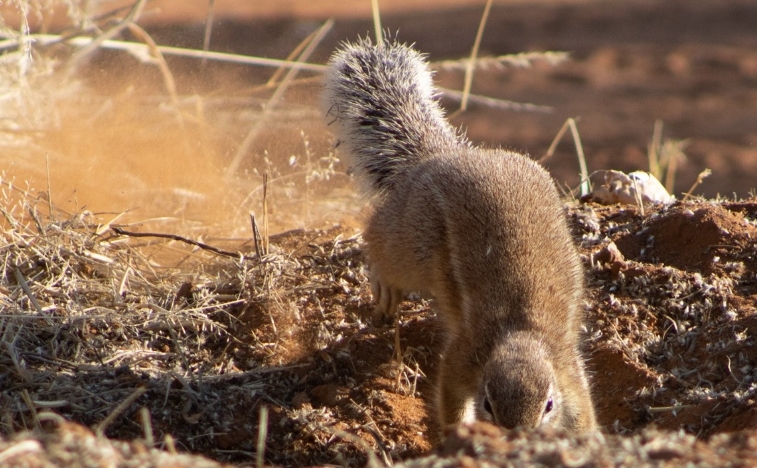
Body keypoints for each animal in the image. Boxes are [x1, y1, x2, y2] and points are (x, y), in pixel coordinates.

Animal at [324, 38, 596, 434]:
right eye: (488, 404)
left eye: (548, 406)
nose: (517, 438)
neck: (520, 336)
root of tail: (444, 155)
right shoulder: (464, 357)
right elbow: (449, 394)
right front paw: (458, 433)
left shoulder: (569, 378)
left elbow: (584, 419)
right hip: (410, 241)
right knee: (377, 238)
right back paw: (385, 287)